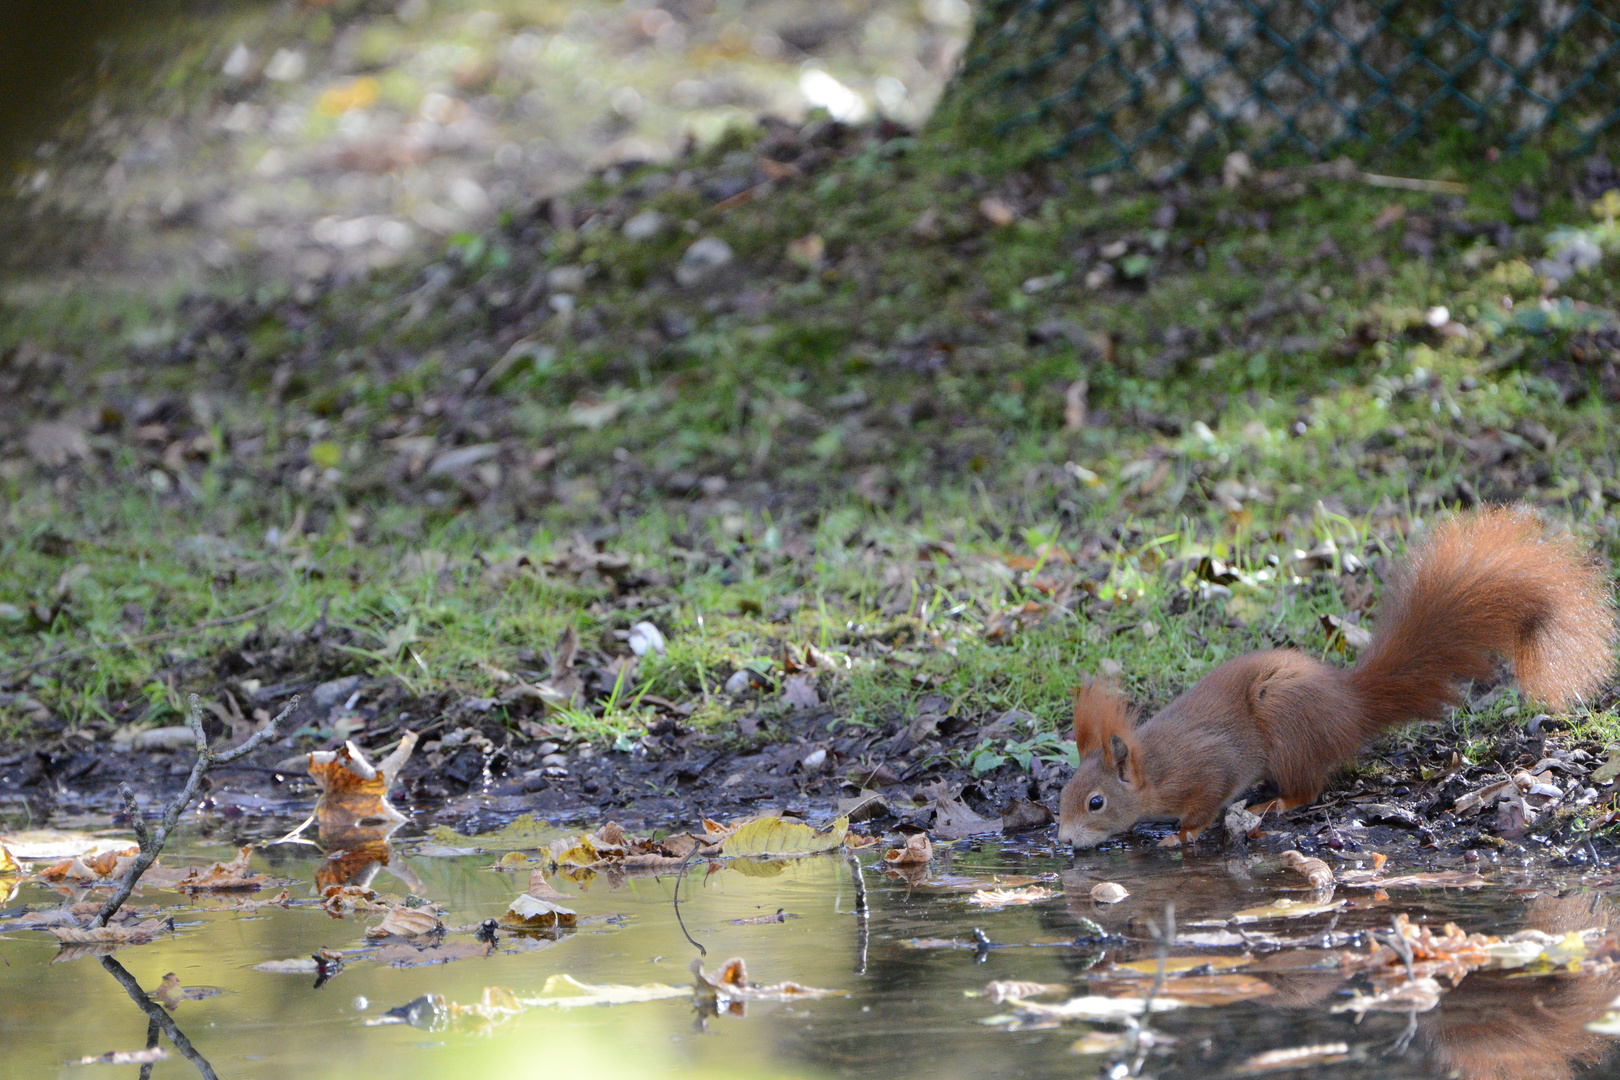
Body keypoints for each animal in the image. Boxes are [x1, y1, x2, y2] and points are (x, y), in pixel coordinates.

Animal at [1056, 508, 1613, 854]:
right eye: (1063, 793)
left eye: (1096, 802)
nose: (1061, 838)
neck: (1153, 768)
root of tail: (1352, 705)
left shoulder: (1208, 768)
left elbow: (1204, 807)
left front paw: (1180, 835)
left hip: (1286, 725)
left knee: (1307, 789)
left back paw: (1274, 802)